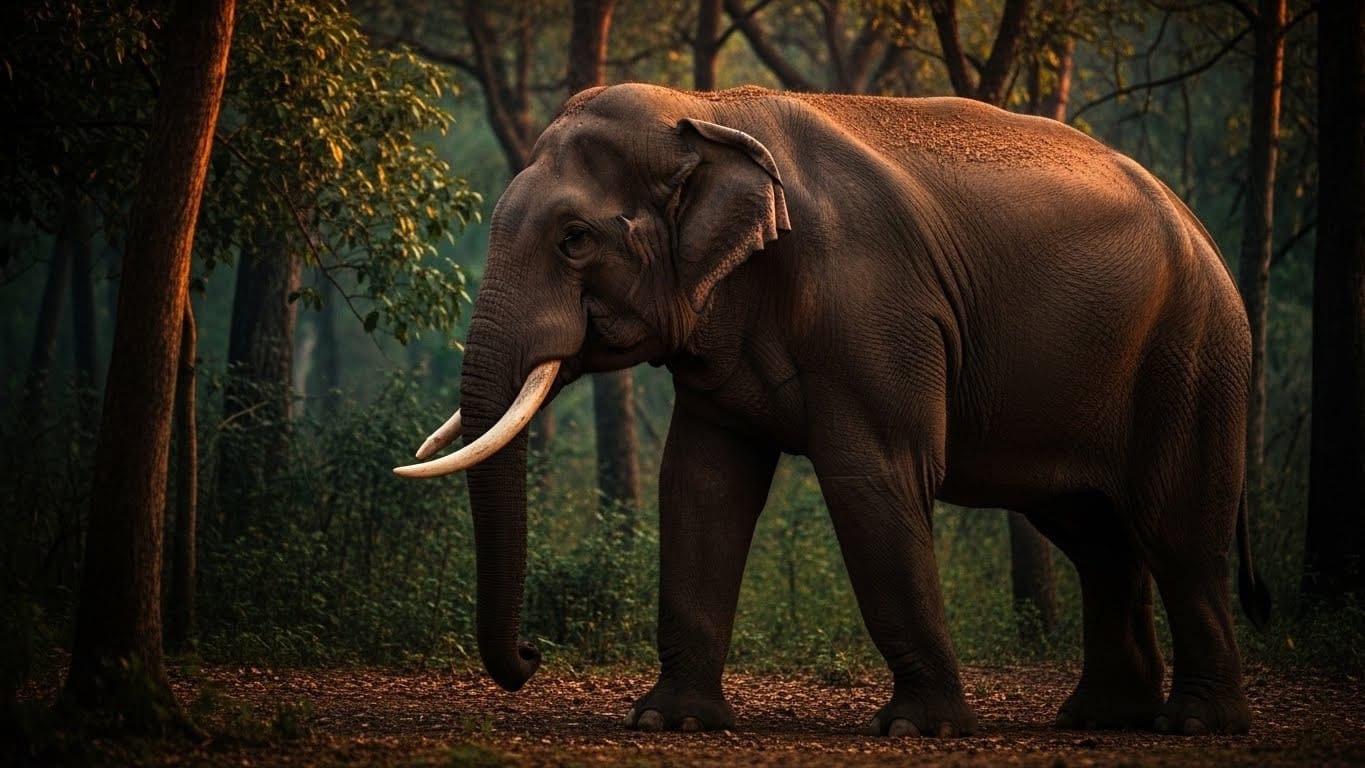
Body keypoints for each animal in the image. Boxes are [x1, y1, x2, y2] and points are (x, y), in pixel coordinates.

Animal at [394, 83, 1272, 737]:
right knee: (1091, 533)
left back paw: (1194, 725)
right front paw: (668, 722)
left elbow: (871, 478)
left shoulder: (874, 306)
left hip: (1190, 353)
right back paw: (1098, 718)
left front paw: (918, 729)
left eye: (574, 238)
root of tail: (1199, 229)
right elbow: (702, 483)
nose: (533, 654)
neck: (706, 113)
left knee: (1172, 527)